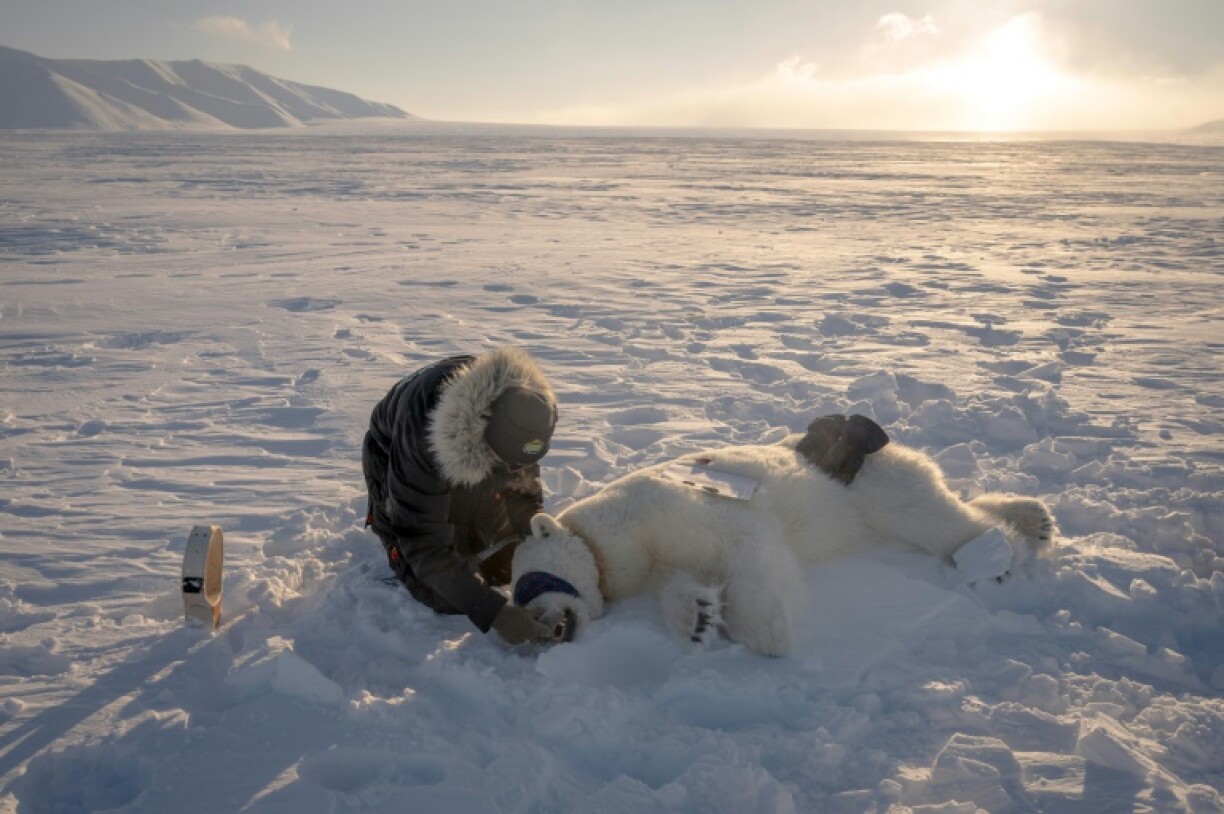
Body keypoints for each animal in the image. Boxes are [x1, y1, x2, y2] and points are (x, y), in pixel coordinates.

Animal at [510, 414, 1056, 656]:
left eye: (526, 583)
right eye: (518, 597)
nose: (548, 630)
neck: (612, 537)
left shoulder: (668, 508)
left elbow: (749, 547)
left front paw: (765, 631)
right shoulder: (653, 558)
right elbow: (682, 582)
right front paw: (698, 619)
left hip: (869, 485)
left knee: (929, 516)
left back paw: (996, 554)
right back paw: (1035, 519)